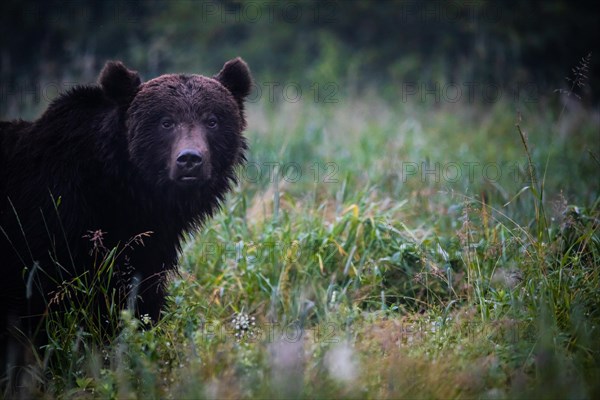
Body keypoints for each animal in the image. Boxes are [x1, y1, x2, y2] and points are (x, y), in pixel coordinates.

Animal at [0, 57, 251, 376]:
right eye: (166, 121)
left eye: (212, 120)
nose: (190, 160)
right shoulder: (49, 223)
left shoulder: (145, 245)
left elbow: (138, 300)